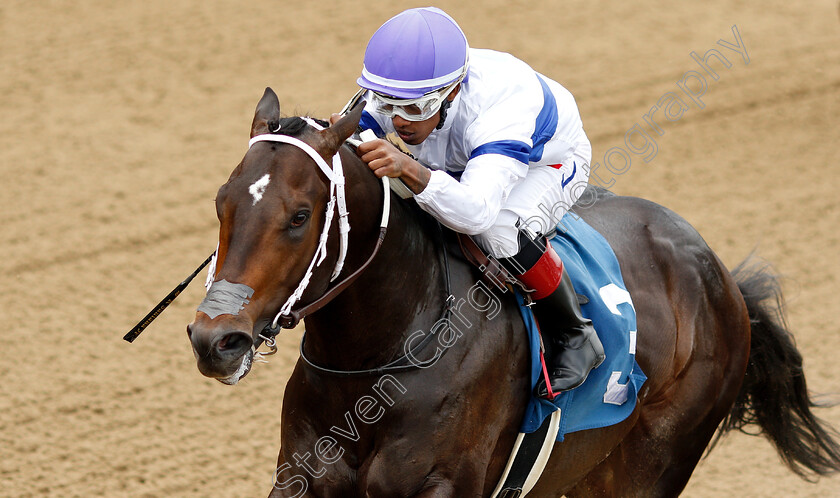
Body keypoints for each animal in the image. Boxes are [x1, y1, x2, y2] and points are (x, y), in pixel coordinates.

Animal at [185, 87, 840, 496]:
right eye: (221, 201)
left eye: (298, 216)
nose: (215, 340)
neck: (381, 358)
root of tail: (721, 278)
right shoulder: (301, 477)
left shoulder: (442, 484)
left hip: (653, 462)